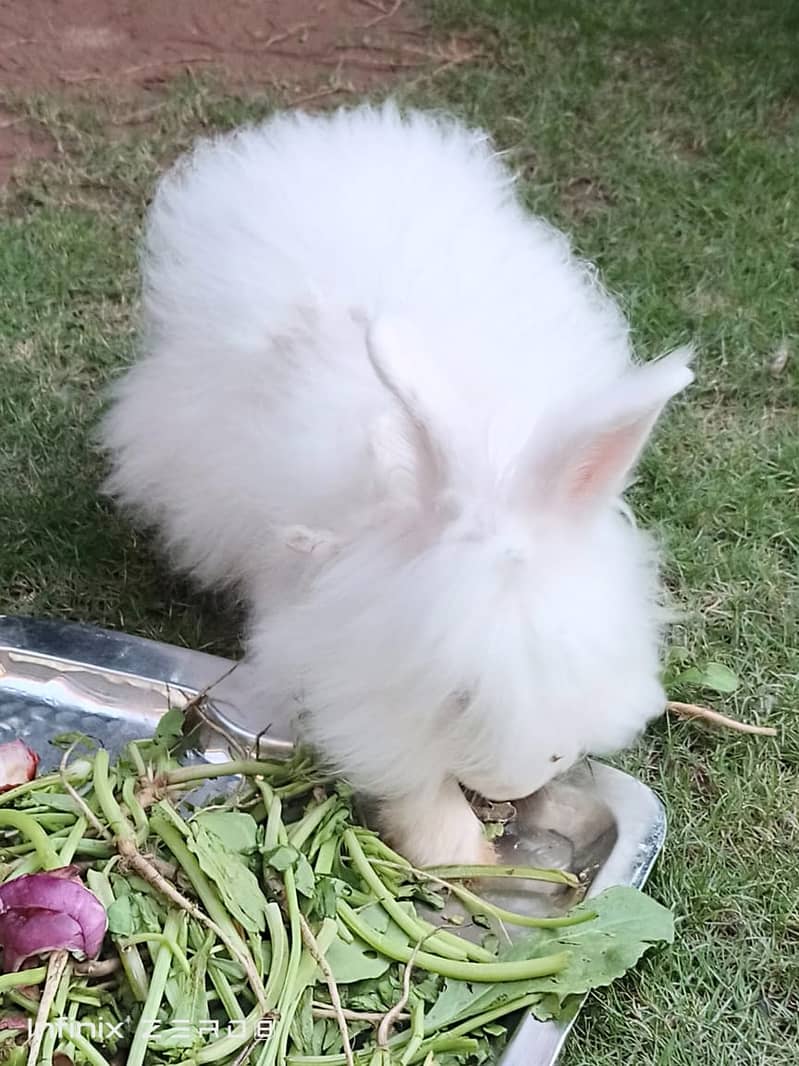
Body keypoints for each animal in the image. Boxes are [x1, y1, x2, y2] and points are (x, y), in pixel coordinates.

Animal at [101, 100, 694, 865]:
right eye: (459, 697)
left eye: (569, 676)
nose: (517, 781)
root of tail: (333, 132)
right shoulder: (350, 676)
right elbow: (408, 776)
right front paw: (460, 852)